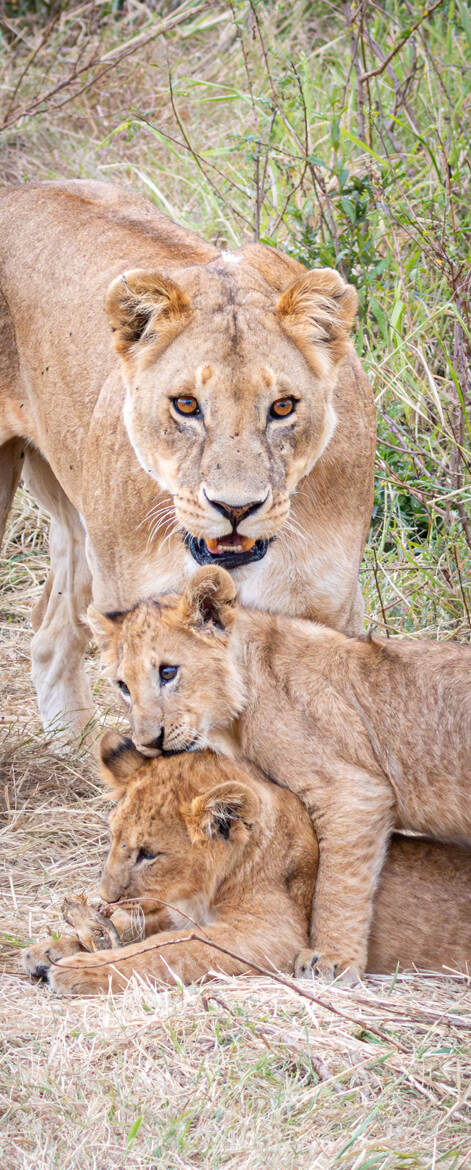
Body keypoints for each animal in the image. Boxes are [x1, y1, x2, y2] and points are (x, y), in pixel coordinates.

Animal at [23, 735, 471, 995]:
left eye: (149, 854)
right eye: (114, 835)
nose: (106, 896)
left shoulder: (274, 937)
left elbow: (171, 948)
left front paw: (80, 969)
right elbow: (144, 929)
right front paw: (52, 948)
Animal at [86, 567, 471, 982]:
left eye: (168, 672)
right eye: (123, 686)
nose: (147, 743)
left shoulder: (352, 791)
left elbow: (337, 882)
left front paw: (332, 959)